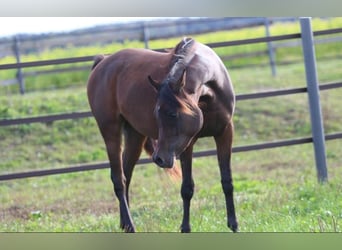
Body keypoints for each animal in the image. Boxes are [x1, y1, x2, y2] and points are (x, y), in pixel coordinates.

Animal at [87, 37, 238, 232]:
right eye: (157, 114)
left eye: (173, 114)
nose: (159, 159)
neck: (210, 91)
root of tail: (103, 62)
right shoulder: (187, 143)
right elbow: (187, 188)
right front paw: (185, 228)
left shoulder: (225, 133)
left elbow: (227, 181)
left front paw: (234, 225)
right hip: (110, 132)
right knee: (118, 179)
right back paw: (130, 226)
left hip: (135, 136)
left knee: (126, 175)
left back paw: (125, 225)